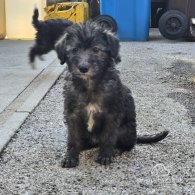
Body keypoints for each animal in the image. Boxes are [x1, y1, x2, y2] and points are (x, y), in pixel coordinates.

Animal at [55, 22, 169, 167]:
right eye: (74, 50)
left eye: (96, 49)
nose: (83, 68)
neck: (90, 86)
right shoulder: (72, 115)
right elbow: (73, 137)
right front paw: (70, 156)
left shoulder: (111, 114)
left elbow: (108, 136)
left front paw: (105, 154)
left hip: (126, 131)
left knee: (128, 145)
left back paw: (116, 150)